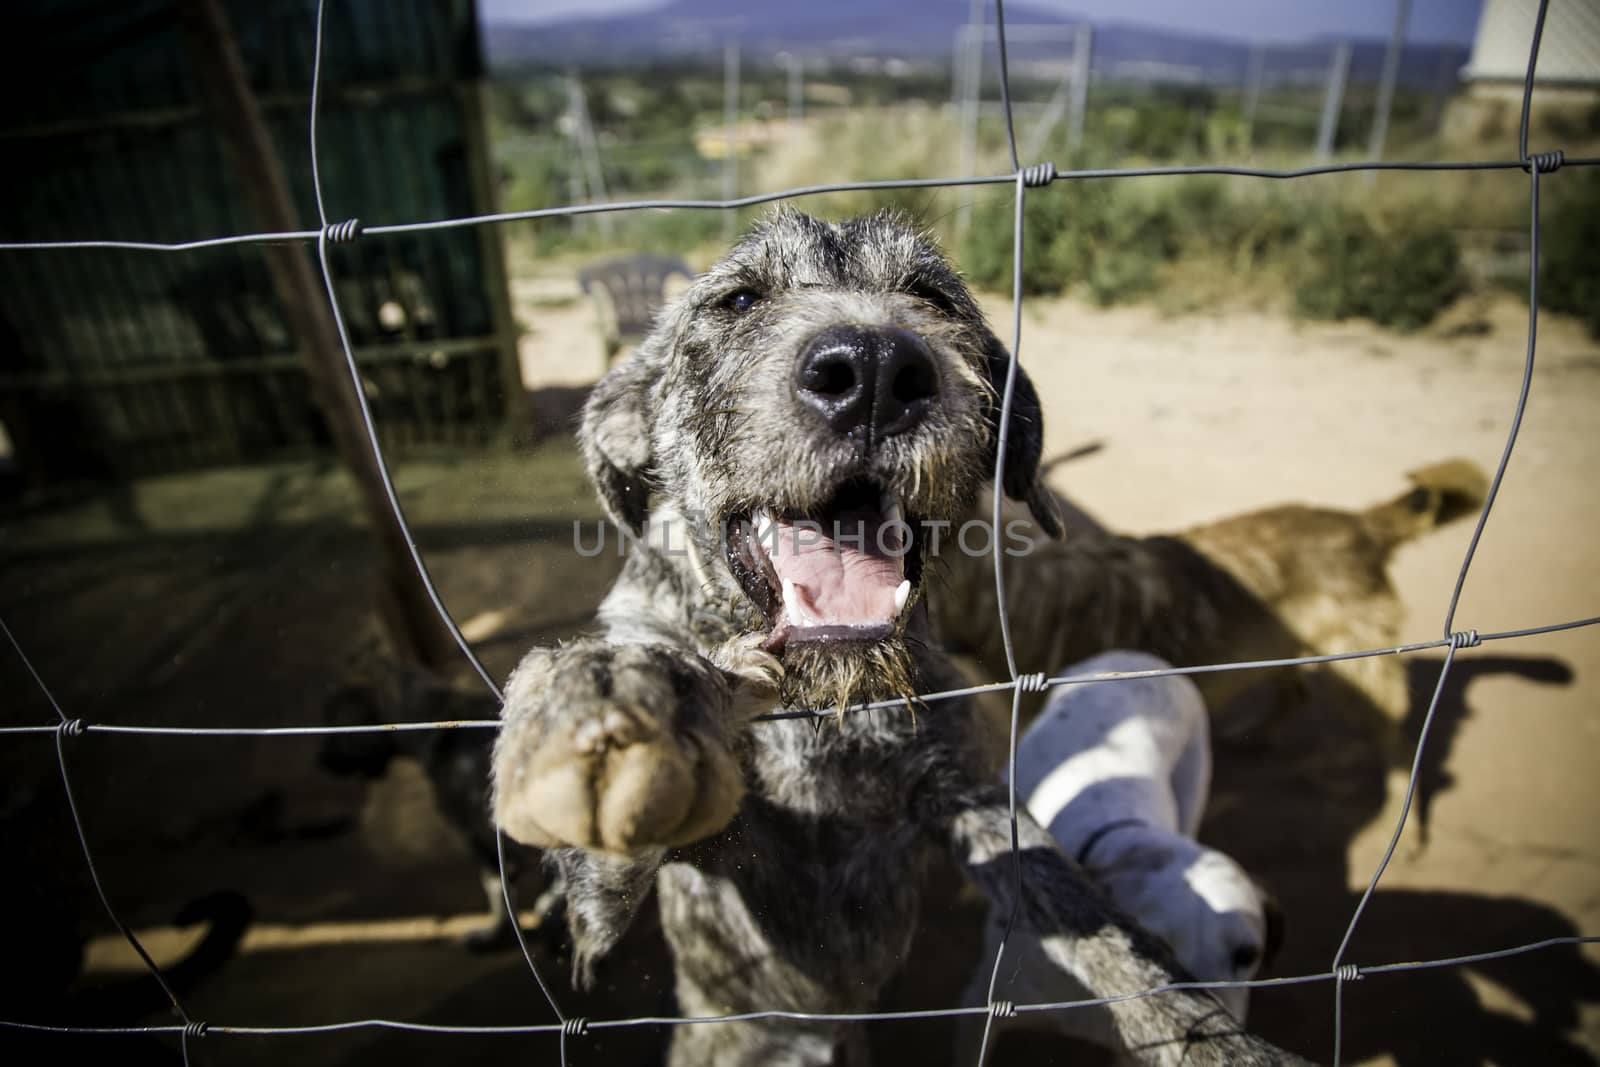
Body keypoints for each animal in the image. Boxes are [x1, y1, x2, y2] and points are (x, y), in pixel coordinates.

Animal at [483, 211, 1299, 1067]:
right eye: (738, 299)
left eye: (931, 295)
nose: (874, 368)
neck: (818, 704)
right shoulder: (624, 889)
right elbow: (605, 879)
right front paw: (615, 693)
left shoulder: (970, 796)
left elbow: (1105, 929)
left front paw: (1214, 1037)